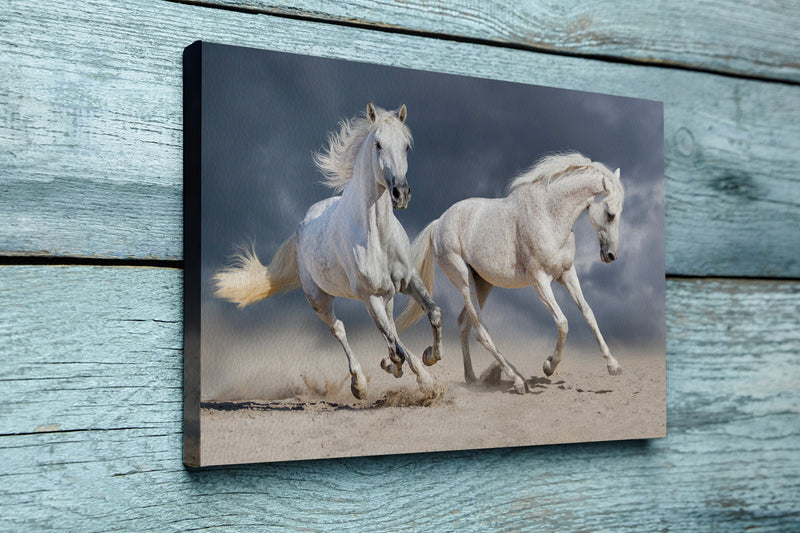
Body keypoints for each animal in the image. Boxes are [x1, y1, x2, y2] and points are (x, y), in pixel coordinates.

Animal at [212, 103, 444, 400]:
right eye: (378, 144)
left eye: (406, 146)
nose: (400, 193)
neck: (378, 236)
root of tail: (301, 227)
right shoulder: (369, 296)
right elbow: (394, 349)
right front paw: (392, 367)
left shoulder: (408, 280)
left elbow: (432, 313)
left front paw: (429, 358)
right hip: (319, 299)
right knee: (340, 329)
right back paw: (359, 384)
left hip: (387, 295)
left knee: (391, 328)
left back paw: (421, 376)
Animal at [400, 152, 624, 392]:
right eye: (610, 214)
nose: (611, 255)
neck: (549, 215)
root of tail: (438, 222)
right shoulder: (539, 280)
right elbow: (562, 323)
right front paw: (549, 365)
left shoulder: (566, 273)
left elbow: (588, 314)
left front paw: (613, 365)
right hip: (462, 279)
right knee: (480, 332)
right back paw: (517, 380)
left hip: (482, 283)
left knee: (464, 324)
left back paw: (470, 376)